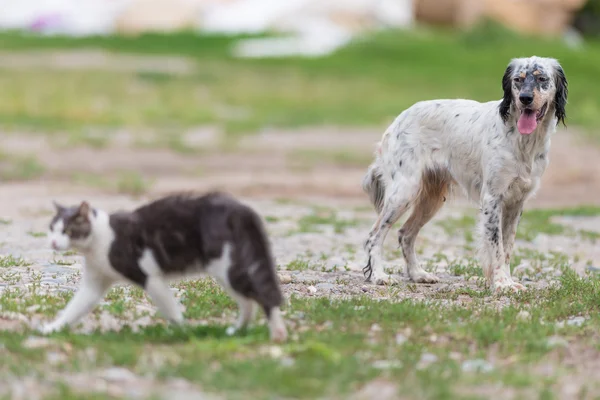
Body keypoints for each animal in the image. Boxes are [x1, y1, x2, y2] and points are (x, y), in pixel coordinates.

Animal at [41, 192, 288, 342]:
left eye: (68, 231)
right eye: (52, 228)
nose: (52, 242)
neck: (99, 241)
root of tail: (239, 208)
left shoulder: (150, 278)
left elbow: (171, 309)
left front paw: (184, 331)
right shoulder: (94, 284)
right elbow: (74, 308)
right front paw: (53, 328)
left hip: (227, 267)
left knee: (262, 296)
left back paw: (277, 334)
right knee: (248, 303)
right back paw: (238, 331)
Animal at [360, 56, 568, 292]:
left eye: (542, 79)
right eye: (518, 79)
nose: (525, 98)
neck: (523, 140)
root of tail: (397, 121)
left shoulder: (516, 202)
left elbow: (507, 247)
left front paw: (508, 281)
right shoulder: (492, 199)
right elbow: (496, 248)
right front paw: (501, 283)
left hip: (431, 200)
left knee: (405, 234)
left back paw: (418, 274)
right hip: (403, 192)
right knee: (374, 236)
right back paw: (379, 275)